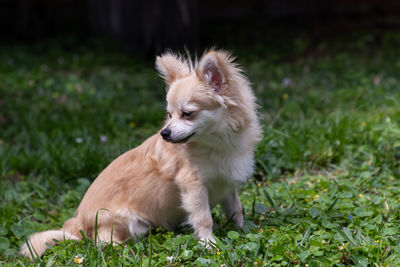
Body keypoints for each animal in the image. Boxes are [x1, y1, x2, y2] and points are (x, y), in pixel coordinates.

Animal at [21, 49, 262, 260]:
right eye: (169, 115)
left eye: (187, 114)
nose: (165, 133)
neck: (217, 142)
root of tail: (77, 224)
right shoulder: (193, 187)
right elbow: (203, 219)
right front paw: (209, 244)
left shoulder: (228, 183)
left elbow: (236, 209)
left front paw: (242, 229)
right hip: (124, 222)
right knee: (105, 242)